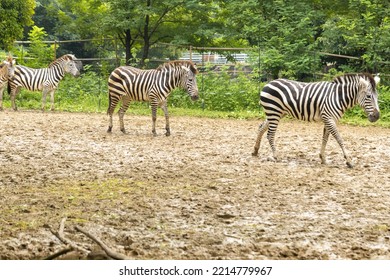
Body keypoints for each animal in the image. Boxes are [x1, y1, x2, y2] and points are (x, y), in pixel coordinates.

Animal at [251, 73, 380, 167]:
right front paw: (348, 160)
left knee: (261, 127)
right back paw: (275, 155)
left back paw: (255, 151)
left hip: (276, 113)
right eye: (369, 96)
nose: (377, 116)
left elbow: (325, 139)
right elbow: (339, 138)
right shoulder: (328, 118)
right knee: (270, 134)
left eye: (377, 97)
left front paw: (323, 158)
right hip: (274, 112)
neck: (337, 97)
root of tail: (268, 83)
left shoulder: (328, 119)